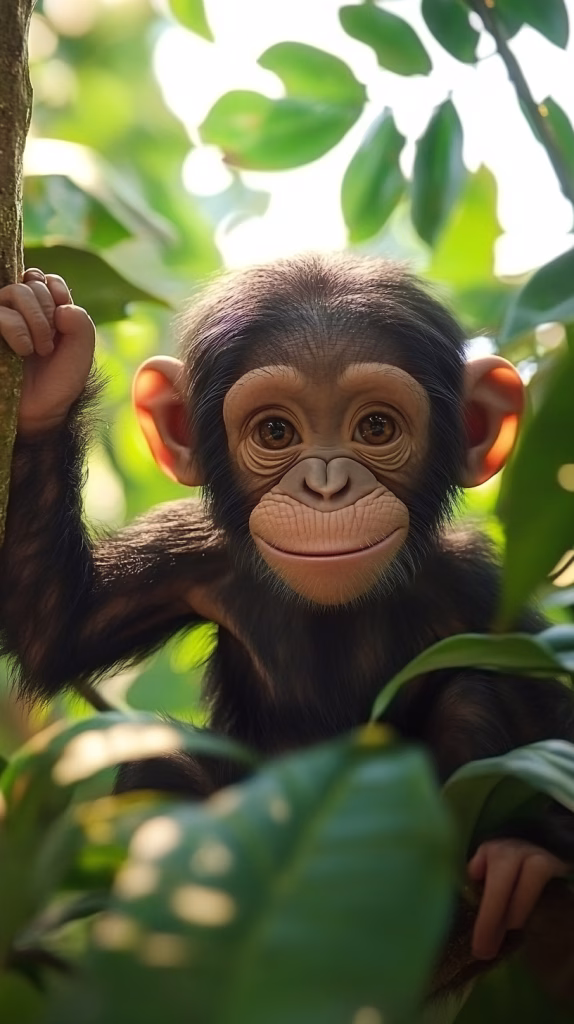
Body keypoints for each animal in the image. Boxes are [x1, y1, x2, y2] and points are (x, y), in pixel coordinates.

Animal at [0, 254, 573, 977]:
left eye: (376, 428)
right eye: (276, 432)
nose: (326, 485)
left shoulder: (475, 585)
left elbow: (544, 702)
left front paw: (532, 851)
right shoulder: (187, 554)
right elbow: (55, 623)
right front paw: (48, 362)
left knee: (470, 694)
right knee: (159, 765)